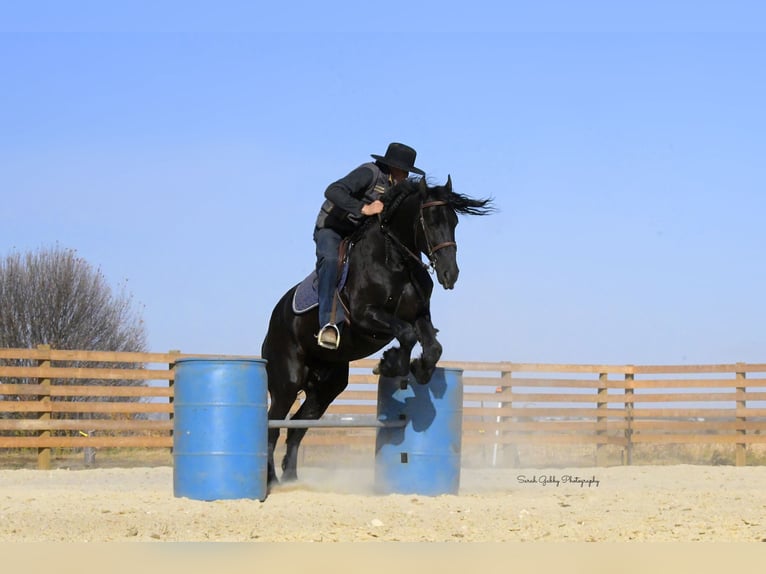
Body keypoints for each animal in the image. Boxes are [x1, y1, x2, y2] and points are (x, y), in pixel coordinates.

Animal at [260, 178, 496, 488]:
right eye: (431, 221)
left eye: (454, 221)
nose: (450, 274)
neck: (394, 260)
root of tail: (274, 320)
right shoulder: (364, 316)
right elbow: (406, 335)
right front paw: (390, 363)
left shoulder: (419, 316)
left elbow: (432, 347)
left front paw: (417, 368)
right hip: (286, 382)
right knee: (273, 426)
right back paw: (272, 481)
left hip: (326, 388)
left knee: (297, 427)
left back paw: (292, 480)